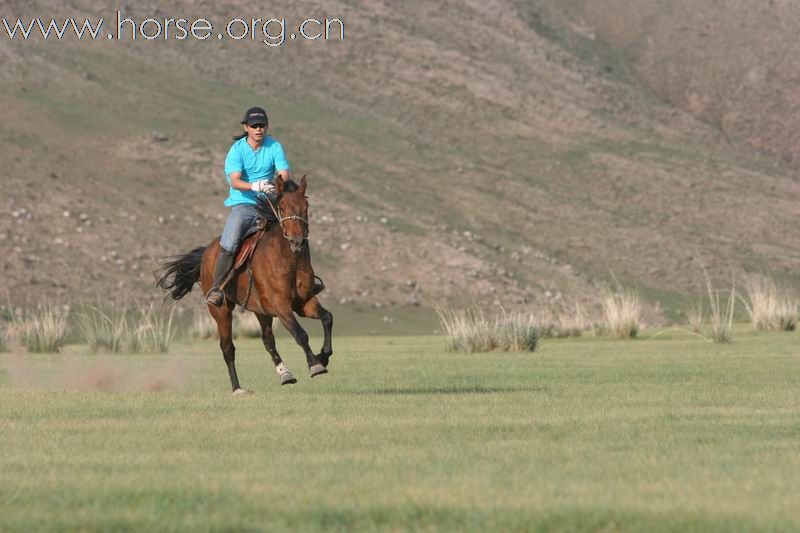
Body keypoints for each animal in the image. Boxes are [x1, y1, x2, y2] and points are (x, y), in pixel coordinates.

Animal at [155, 177, 332, 392]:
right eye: (281, 208)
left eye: (306, 207)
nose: (297, 241)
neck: (289, 260)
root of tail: (207, 252)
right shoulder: (281, 307)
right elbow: (301, 334)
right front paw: (315, 364)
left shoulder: (304, 302)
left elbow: (327, 318)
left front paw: (323, 356)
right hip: (221, 311)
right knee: (228, 348)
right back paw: (237, 388)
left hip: (261, 310)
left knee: (268, 340)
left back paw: (285, 374)